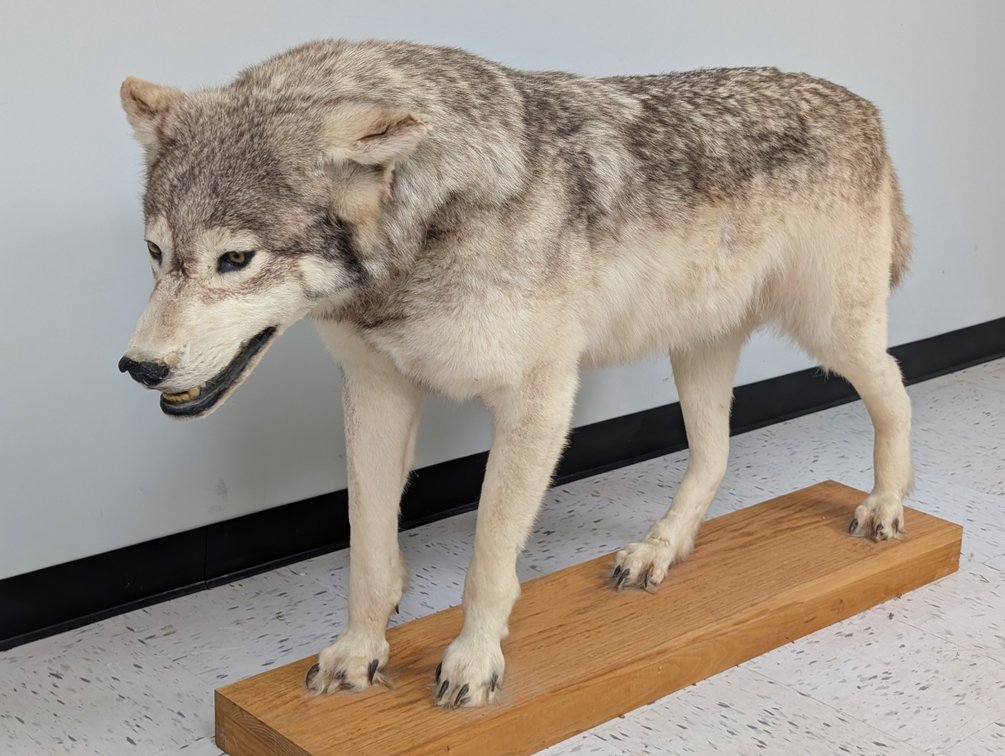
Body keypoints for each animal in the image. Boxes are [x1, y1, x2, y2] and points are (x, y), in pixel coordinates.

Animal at [118, 39, 912, 707]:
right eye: (156, 253)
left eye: (234, 260)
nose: (137, 366)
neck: (430, 220)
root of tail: (864, 106)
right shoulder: (378, 393)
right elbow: (369, 553)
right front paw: (358, 653)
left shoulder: (537, 404)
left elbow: (488, 559)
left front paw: (472, 661)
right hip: (699, 351)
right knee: (713, 456)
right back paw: (657, 551)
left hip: (831, 334)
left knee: (896, 391)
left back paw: (883, 507)